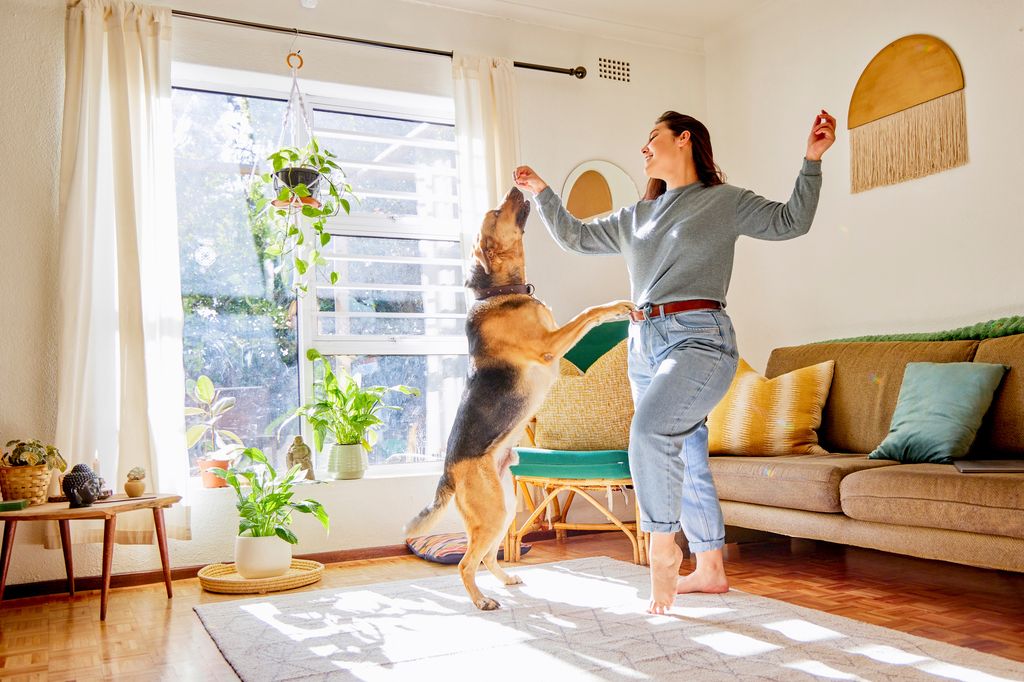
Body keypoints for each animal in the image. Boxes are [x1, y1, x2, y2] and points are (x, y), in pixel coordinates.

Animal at [401, 183, 630, 606]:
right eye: (495, 214)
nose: (515, 185)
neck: (500, 291)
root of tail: (448, 471)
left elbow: (591, 317)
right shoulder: (549, 345)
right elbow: (589, 313)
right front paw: (616, 307)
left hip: (505, 507)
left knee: (488, 557)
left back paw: (505, 581)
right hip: (492, 514)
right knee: (466, 563)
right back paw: (481, 601)